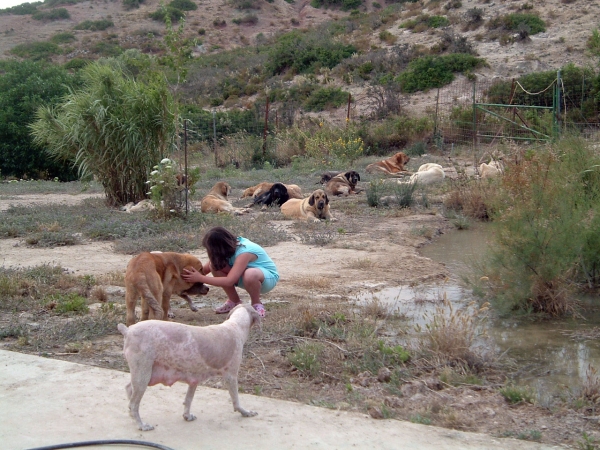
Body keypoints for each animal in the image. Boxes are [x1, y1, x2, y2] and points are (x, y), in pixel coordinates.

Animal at [117, 304, 260, 430]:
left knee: (129, 390)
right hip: (143, 375)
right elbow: (236, 399)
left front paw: (187, 415)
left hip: (143, 374)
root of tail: (128, 330)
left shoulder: (194, 379)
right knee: (133, 404)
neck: (235, 326)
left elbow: (188, 399)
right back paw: (141, 425)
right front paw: (245, 412)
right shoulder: (231, 376)